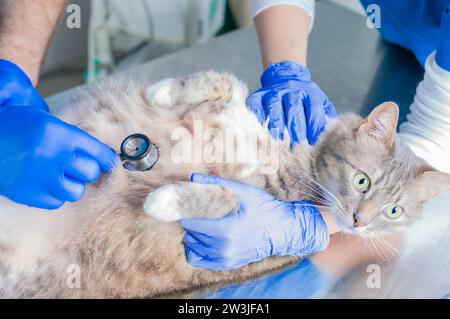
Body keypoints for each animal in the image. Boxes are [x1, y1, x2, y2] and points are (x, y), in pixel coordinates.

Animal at [0, 71, 448, 298]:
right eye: (362, 180)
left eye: (394, 212)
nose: (359, 222)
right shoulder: (238, 102)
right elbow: (223, 80)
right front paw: (163, 90)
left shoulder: (256, 208)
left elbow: (226, 196)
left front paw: (163, 200)